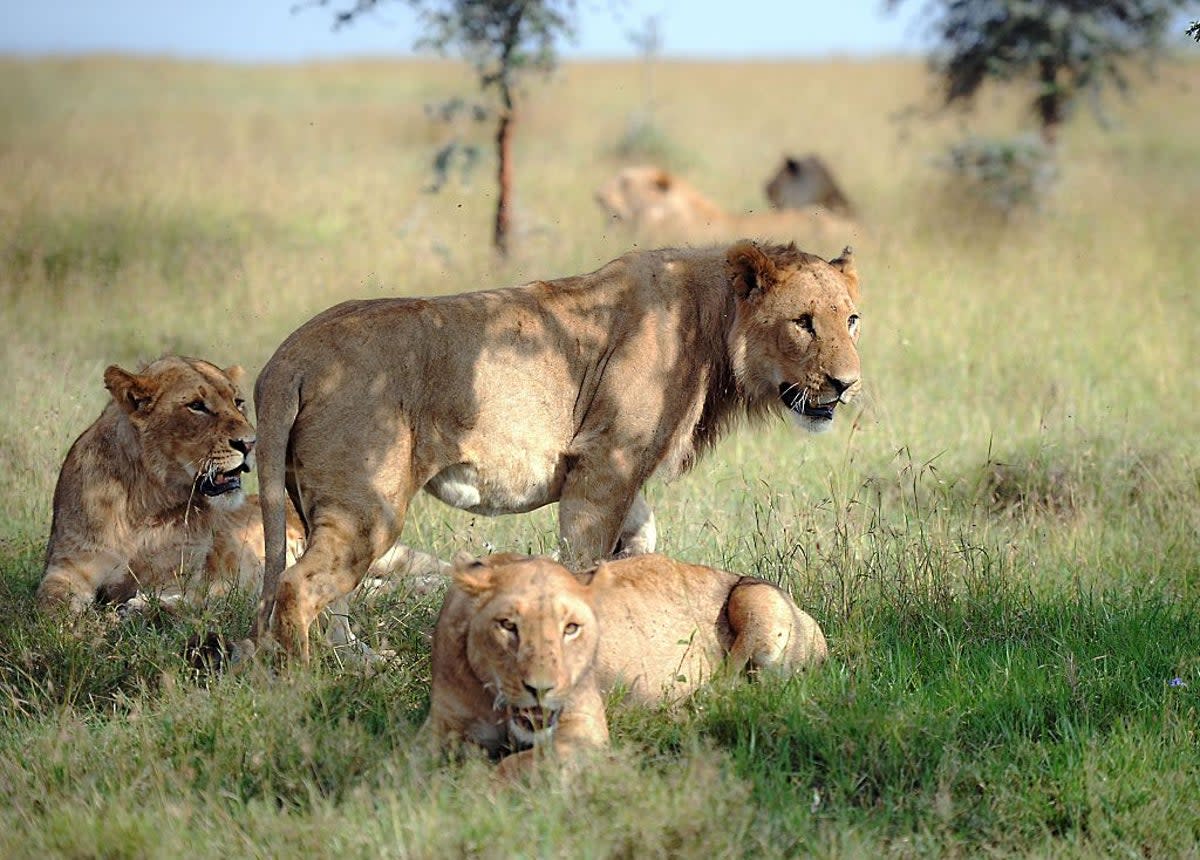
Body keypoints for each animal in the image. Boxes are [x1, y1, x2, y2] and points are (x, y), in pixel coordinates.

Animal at [255, 239, 864, 657]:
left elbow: (639, 540)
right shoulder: (605, 464)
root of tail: (289, 357)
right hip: (368, 503)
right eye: (803, 323)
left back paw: (356, 661)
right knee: (298, 585)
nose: (847, 384)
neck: (713, 320)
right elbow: (583, 558)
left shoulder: (613, 473)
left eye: (852, 319)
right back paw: (310, 681)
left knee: (327, 590)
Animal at [422, 554, 825, 777]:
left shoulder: (584, 732)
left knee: (746, 691)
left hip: (755, 599)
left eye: (570, 628)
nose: (541, 687)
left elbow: (513, 765)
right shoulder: (440, 727)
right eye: (508, 626)